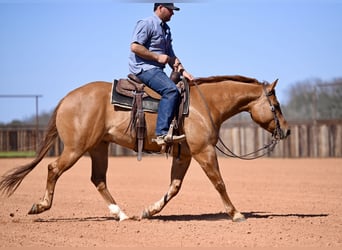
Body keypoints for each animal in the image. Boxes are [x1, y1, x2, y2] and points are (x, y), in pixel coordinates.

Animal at [0, 75, 290, 222]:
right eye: (276, 106)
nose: (286, 130)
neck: (203, 104)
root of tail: (66, 99)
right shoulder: (203, 151)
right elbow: (219, 182)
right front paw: (236, 213)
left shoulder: (184, 155)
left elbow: (174, 187)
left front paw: (149, 211)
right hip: (75, 148)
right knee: (53, 168)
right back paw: (40, 206)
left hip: (98, 148)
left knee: (98, 179)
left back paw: (122, 215)